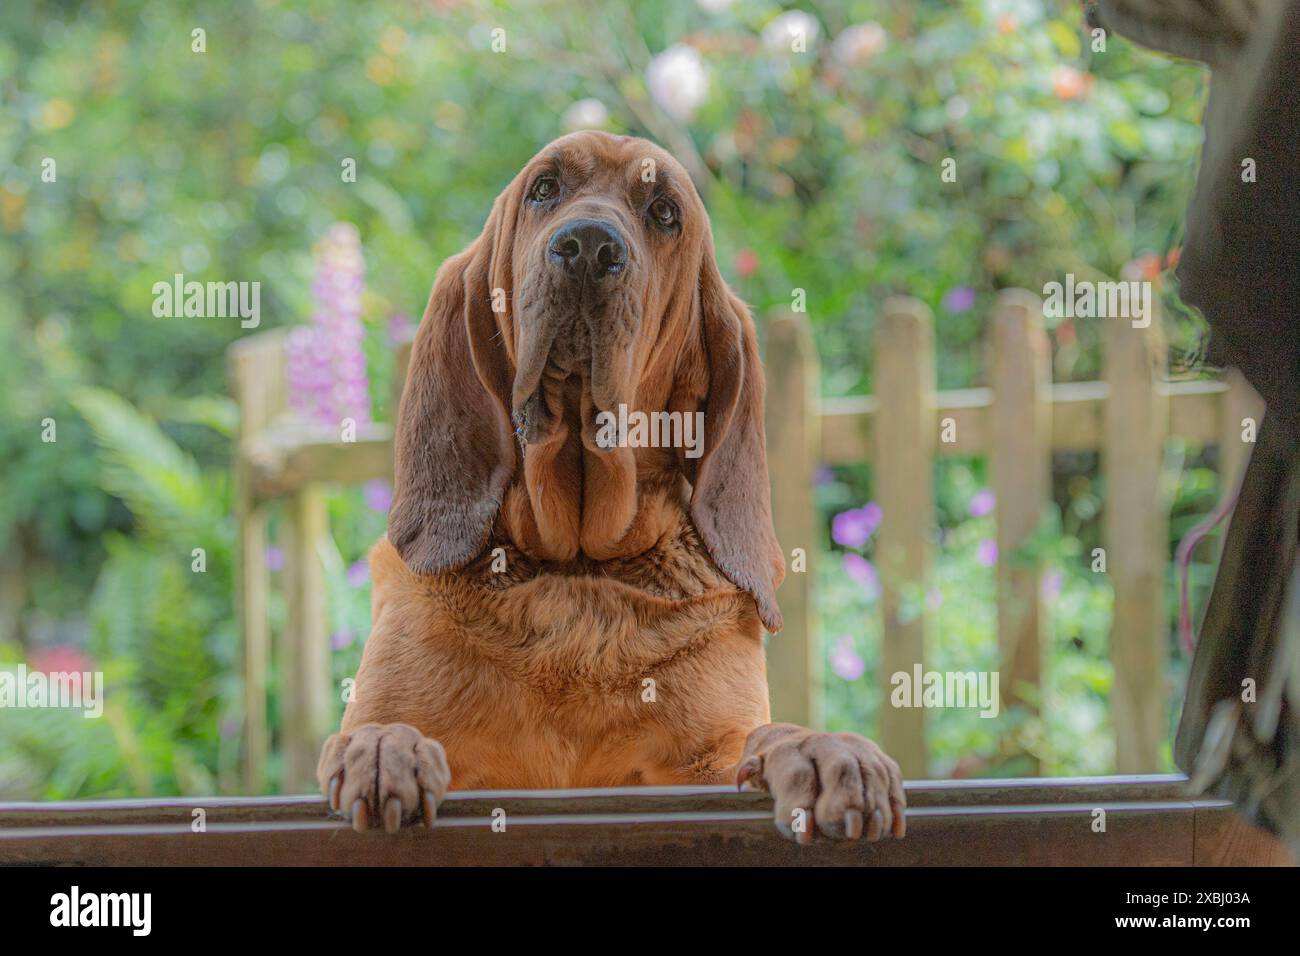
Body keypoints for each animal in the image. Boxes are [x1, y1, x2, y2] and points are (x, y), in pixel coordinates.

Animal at [317, 128, 904, 842]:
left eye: (664, 213)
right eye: (545, 188)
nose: (589, 247)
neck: (576, 567)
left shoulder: (705, 761)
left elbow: (768, 734)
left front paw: (824, 751)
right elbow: (386, 729)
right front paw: (384, 748)